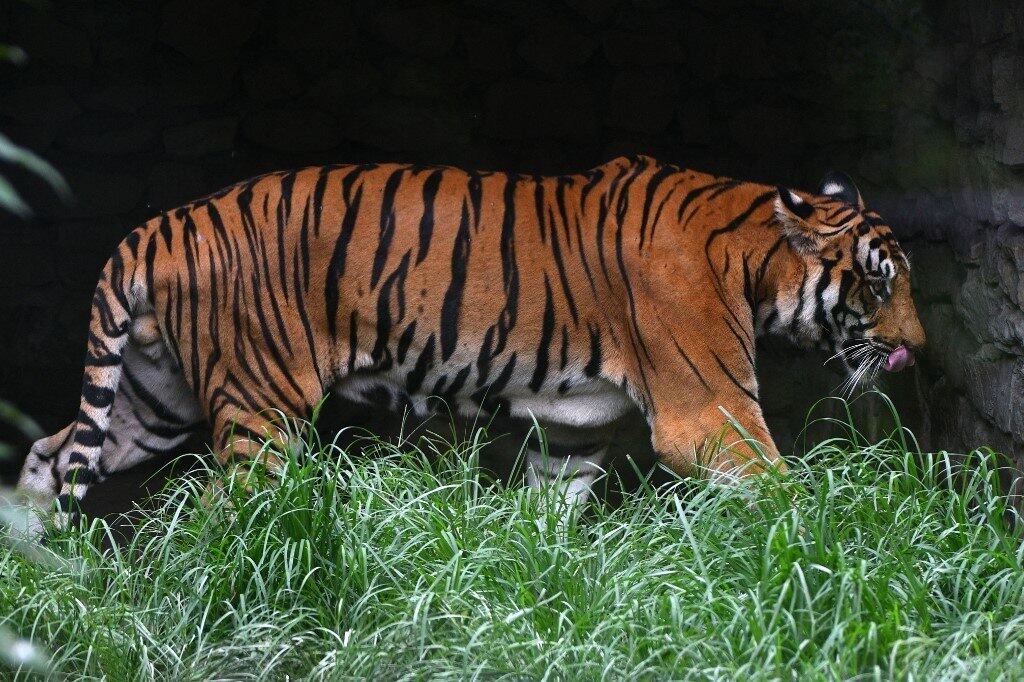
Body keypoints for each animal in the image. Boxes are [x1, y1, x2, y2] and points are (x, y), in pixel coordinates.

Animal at [17, 155, 925, 521]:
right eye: (879, 283)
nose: (917, 347)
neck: (751, 257)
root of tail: (162, 222)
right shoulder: (709, 416)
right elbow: (789, 494)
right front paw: (847, 548)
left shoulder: (572, 431)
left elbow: (552, 516)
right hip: (258, 409)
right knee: (219, 514)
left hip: (151, 397)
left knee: (50, 457)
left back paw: (52, 583)